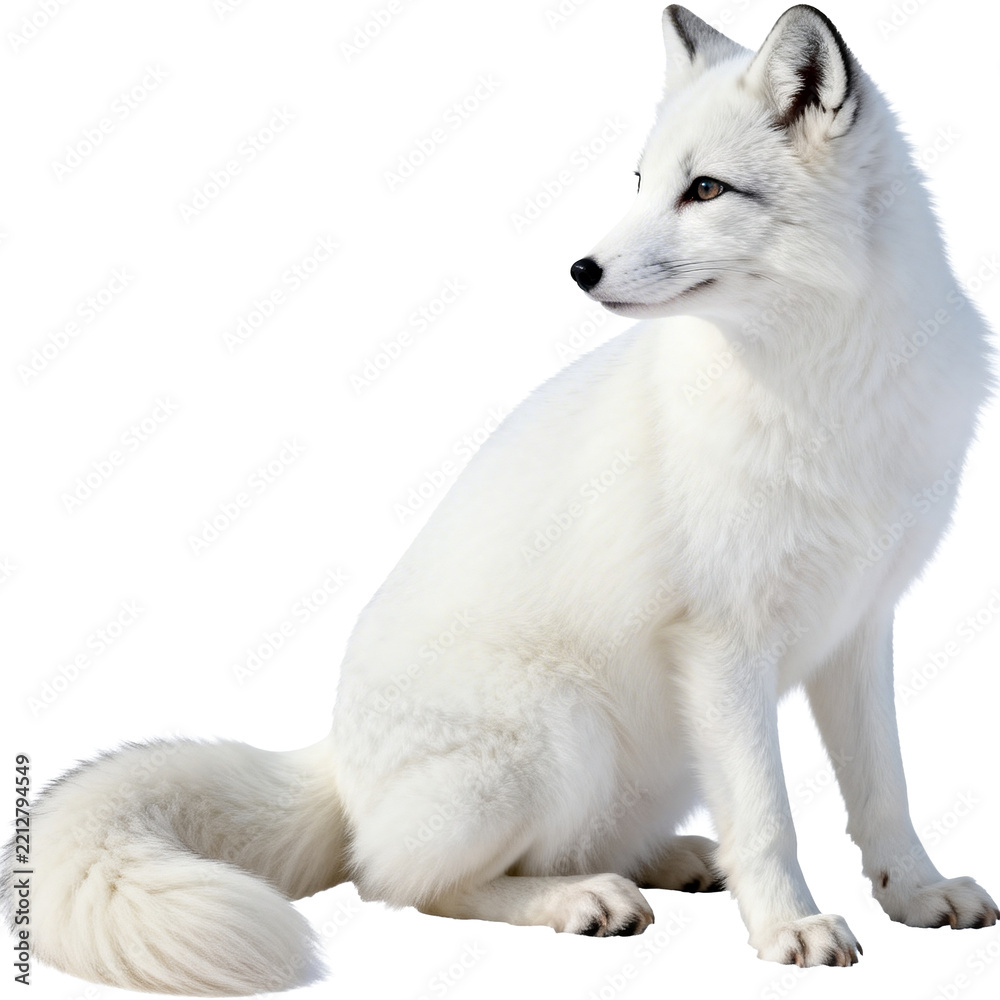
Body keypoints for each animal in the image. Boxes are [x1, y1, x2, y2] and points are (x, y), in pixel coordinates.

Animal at [5, 5, 997, 994]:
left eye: (707, 189)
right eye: (641, 181)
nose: (582, 269)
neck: (827, 390)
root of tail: (336, 768)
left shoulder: (859, 626)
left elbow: (885, 791)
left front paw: (916, 892)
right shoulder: (722, 643)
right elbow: (768, 814)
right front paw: (789, 926)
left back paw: (667, 861)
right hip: (562, 733)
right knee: (400, 882)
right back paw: (582, 900)